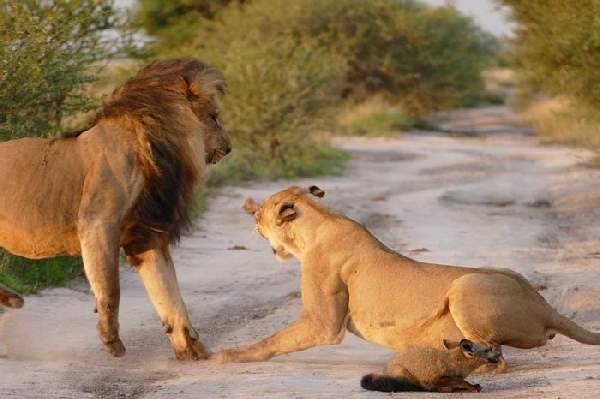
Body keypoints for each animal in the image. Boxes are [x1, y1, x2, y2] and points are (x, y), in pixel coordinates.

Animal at [0, 57, 230, 360]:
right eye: (214, 117)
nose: (228, 148)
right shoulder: (98, 222)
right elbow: (111, 287)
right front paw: (111, 340)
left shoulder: (145, 236)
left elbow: (169, 293)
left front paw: (190, 348)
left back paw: (13, 299)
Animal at [218, 188, 600, 384]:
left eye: (259, 214)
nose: (251, 218)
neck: (319, 222)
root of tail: (544, 305)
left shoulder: (323, 322)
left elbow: (272, 340)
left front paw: (229, 355)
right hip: (497, 271)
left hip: (464, 286)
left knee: (498, 359)